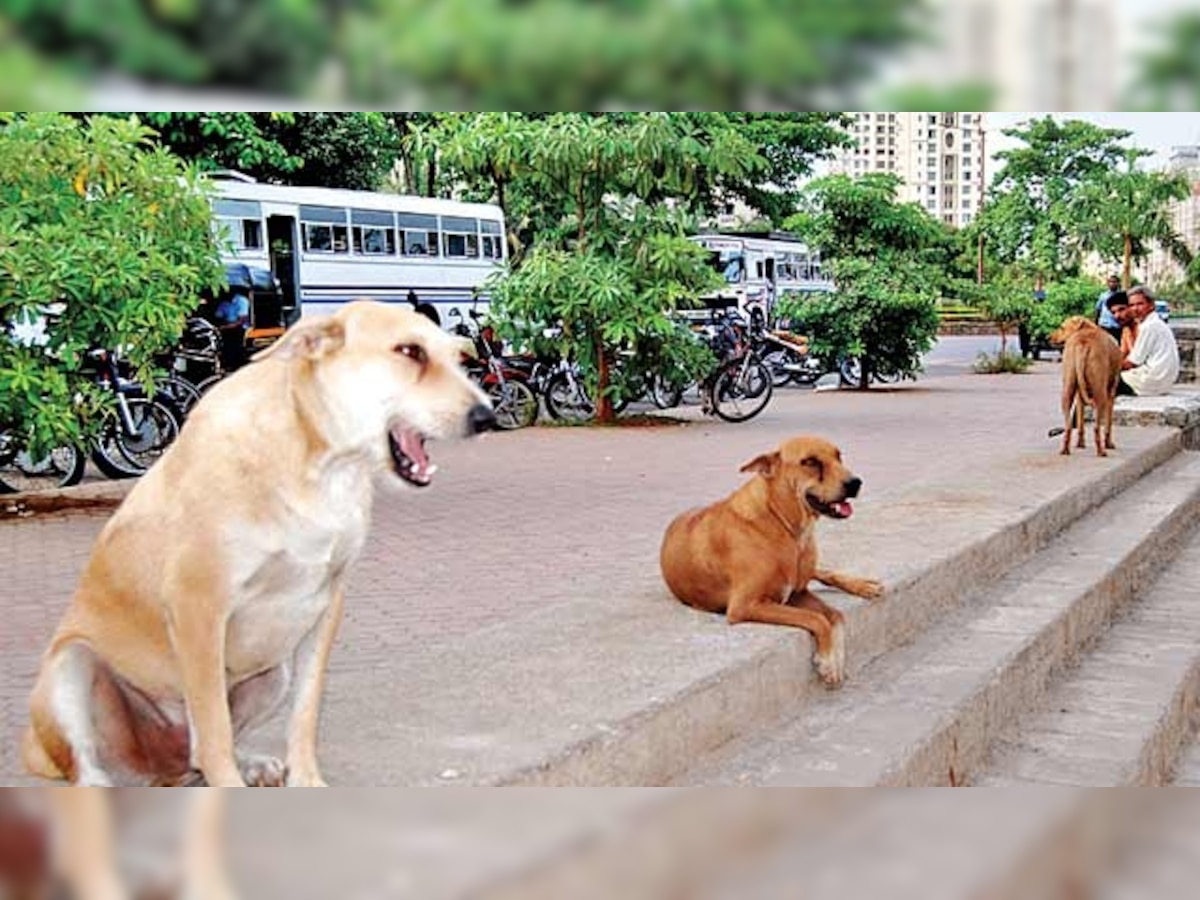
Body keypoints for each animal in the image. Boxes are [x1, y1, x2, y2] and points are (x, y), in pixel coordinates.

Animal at [662, 436, 888, 681]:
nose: (855, 483)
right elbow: (817, 619)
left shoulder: (797, 592)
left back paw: (864, 585)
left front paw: (832, 660)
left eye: (839, 457)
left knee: (823, 573)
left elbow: (836, 616)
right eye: (810, 461)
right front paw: (828, 661)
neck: (785, 526)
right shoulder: (746, 605)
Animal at [1051, 316, 1123, 458]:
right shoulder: (1111, 394)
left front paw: (1080, 444)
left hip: (1067, 390)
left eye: (1062, 327)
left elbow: (1080, 425)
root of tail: (1082, 342)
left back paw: (1065, 450)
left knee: (1068, 426)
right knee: (1096, 427)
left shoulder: (1079, 396)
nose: (1048, 337)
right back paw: (1101, 451)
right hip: (1100, 394)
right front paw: (1109, 443)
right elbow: (1108, 424)